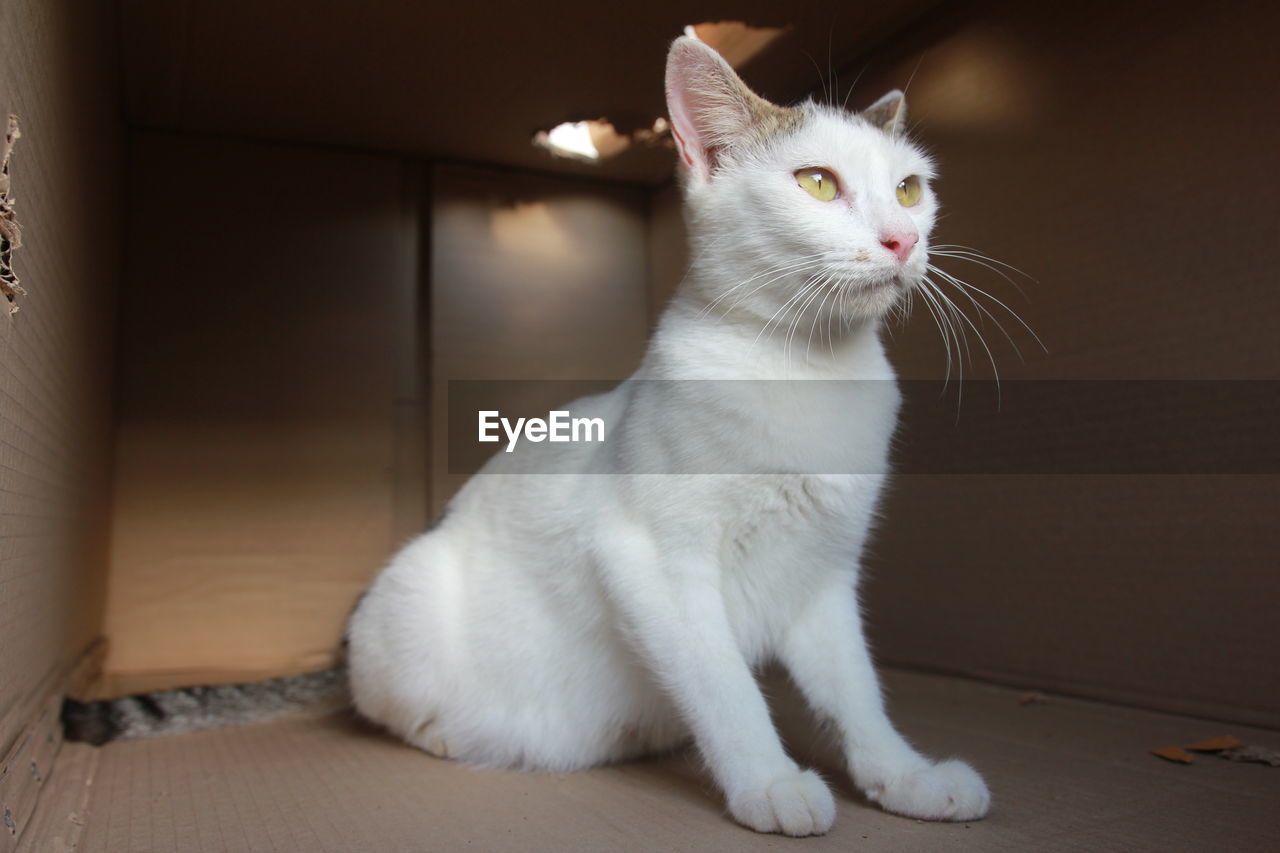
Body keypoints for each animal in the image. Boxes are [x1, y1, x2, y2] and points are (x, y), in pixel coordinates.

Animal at [348, 36, 988, 835]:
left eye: (908, 190)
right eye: (816, 182)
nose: (902, 239)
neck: (809, 373)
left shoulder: (822, 575)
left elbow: (857, 692)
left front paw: (904, 776)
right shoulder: (655, 561)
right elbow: (725, 686)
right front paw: (768, 782)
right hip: (401, 598)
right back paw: (455, 735)